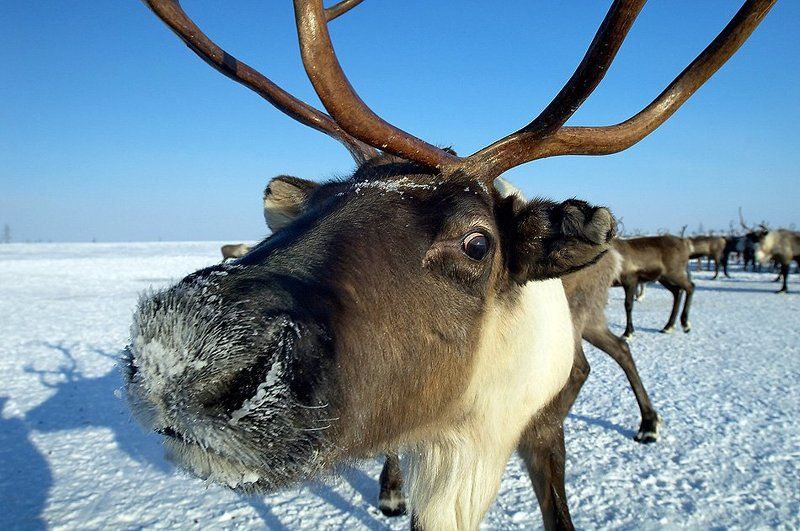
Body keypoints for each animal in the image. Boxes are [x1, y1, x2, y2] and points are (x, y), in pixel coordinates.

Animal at [125, 1, 775, 529]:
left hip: (587, 318)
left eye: (477, 244)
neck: (470, 435)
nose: (181, 352)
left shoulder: (532, 431)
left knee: (609, 353)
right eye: (313, 205)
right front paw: (393, 490)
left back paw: (648, 421)